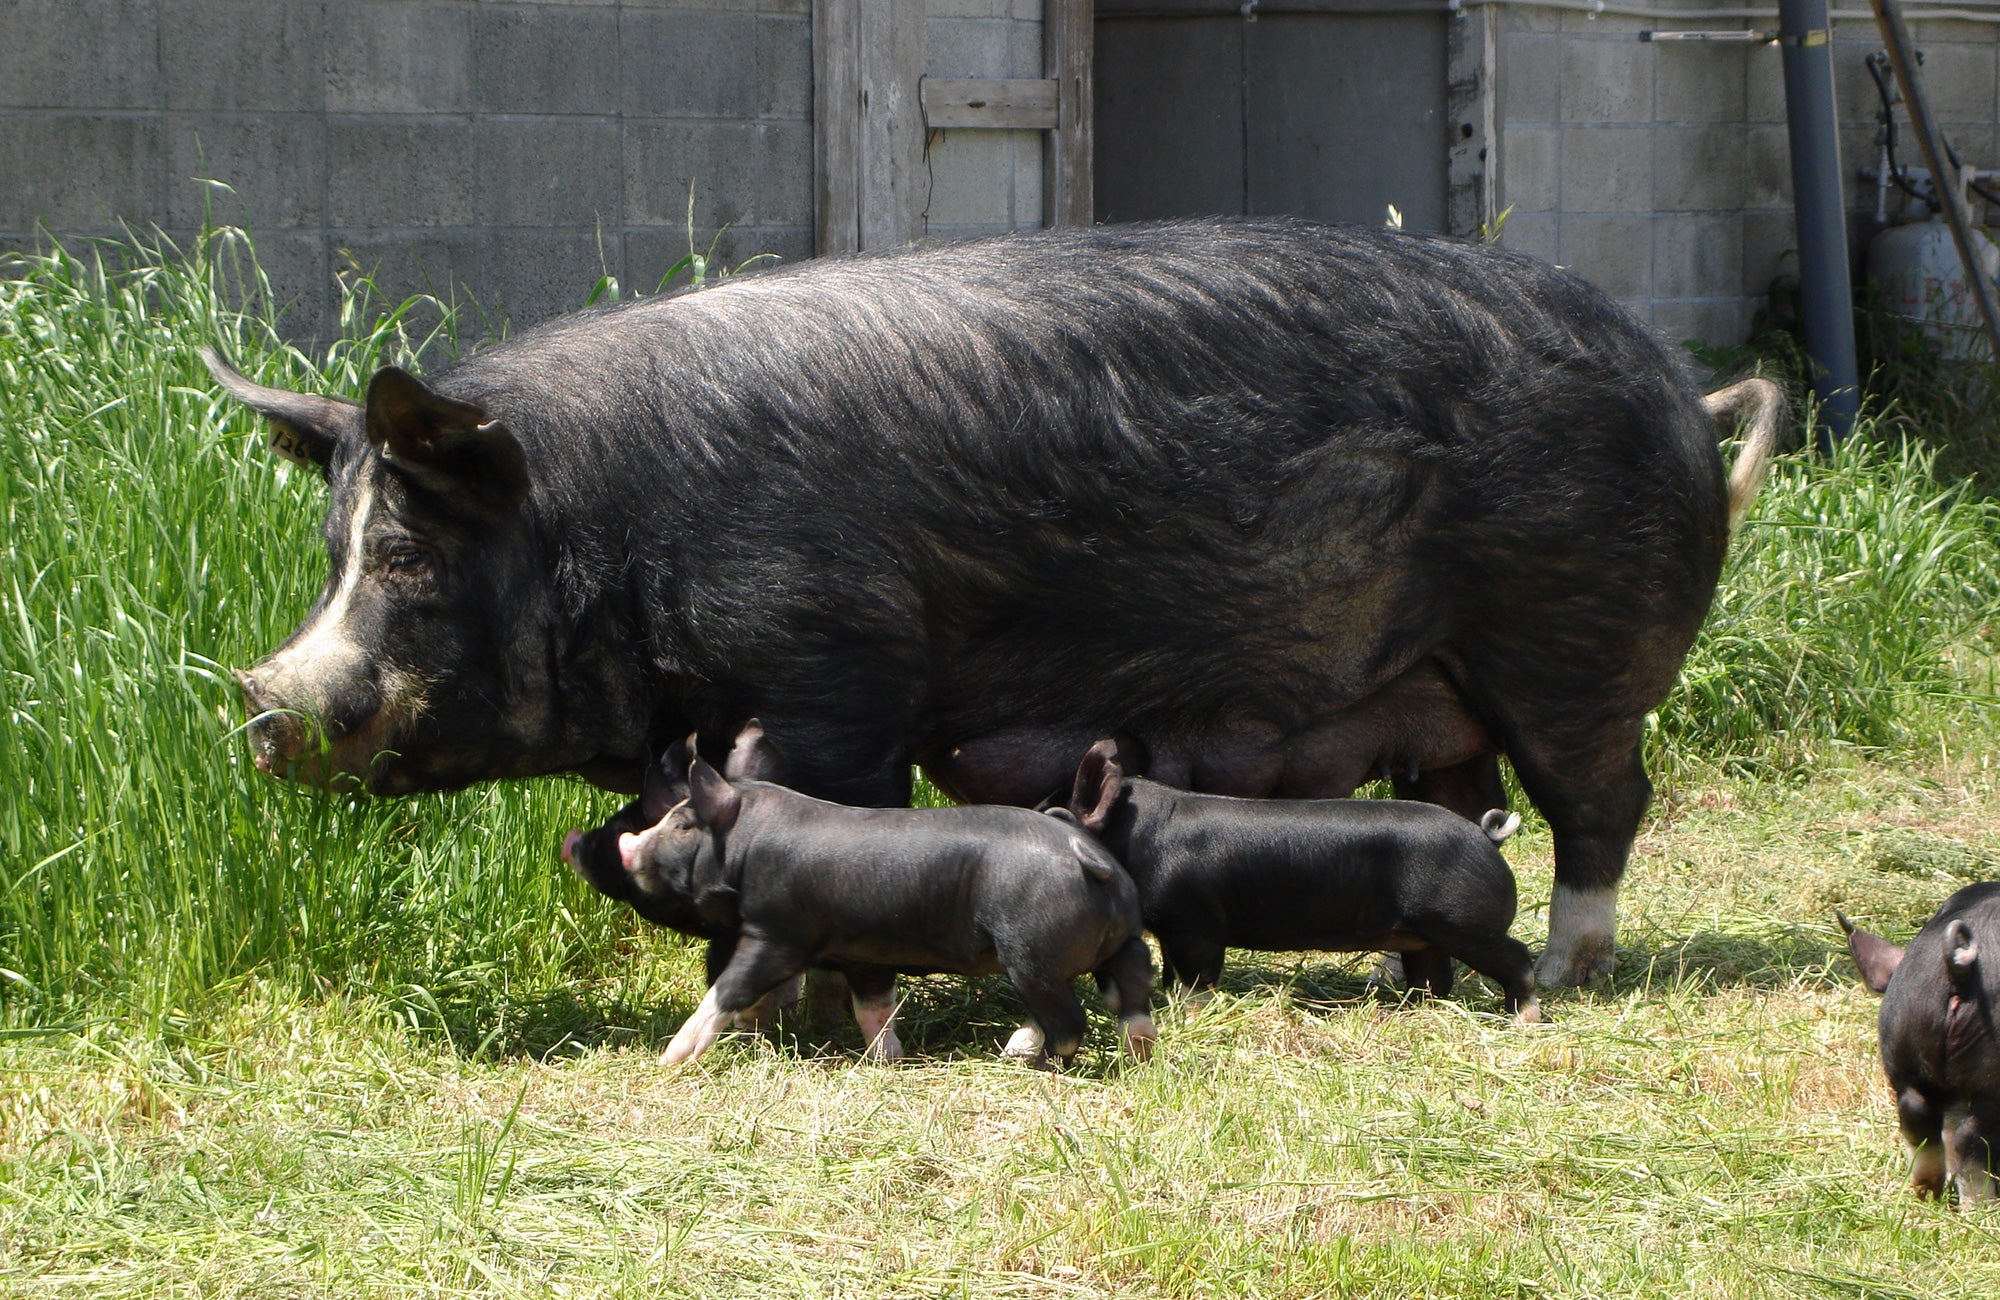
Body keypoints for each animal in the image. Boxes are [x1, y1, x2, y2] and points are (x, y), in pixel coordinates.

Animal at [211, 215, 1784, 984]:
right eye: (333, 549)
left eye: (407, 559)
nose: (263, 708)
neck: (608, 520)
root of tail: (1683, 393)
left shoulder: (836, 666)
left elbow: (824, 809)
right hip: (1439, 687)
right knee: (1465, 800)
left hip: (1571, 637)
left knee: (1602, 803)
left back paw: (1574, 972)